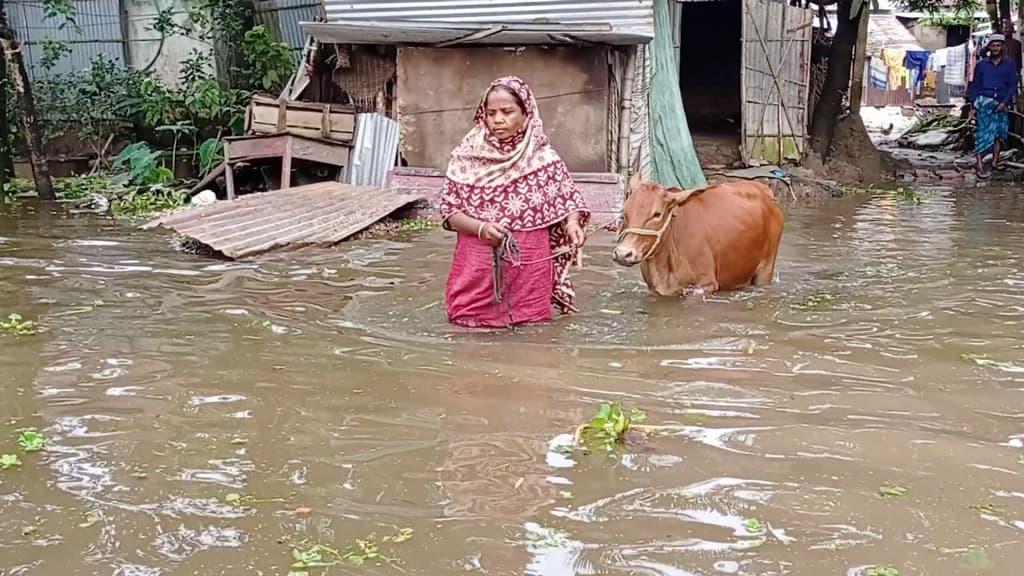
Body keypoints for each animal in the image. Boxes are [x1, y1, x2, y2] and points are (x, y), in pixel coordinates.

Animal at [614, 175, 782, 295]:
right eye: (625, 211)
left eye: (657, 214)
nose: (623, 253)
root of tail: (765, 192)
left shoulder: (705, 284)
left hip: (765, 270)